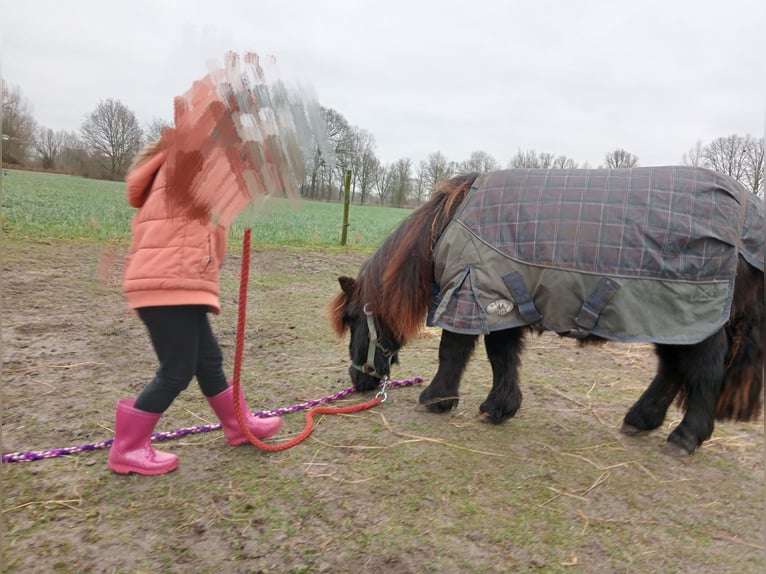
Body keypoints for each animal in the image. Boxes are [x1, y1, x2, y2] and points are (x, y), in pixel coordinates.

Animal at [328, 168, 764, 460]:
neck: (449, 224)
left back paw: (686, 436)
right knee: (672, 368)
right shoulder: (501, 302)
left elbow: (453, 352)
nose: (358, 381)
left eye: (352, 319)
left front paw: (437, 399)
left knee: (702, 371)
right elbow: (502, 357)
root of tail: (748, 213)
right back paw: (642, 419)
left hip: (697, 317)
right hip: (671, 319)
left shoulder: (471, 293)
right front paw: (500, 407)